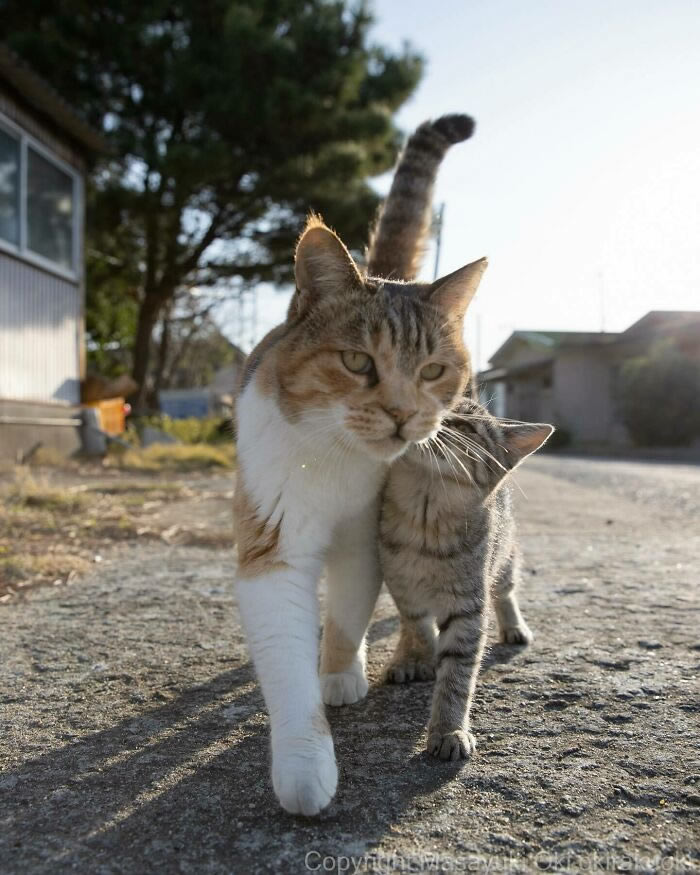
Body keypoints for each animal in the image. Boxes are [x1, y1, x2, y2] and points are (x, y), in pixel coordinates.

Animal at [378, 396, 552, 760]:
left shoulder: (468, 605)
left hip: (505, 557)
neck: (424, 522)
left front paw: (448, 729)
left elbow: (457, 674)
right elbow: (414, 625)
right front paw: (417, 656)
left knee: (505, 591)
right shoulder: (400, 585)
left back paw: (514, 625)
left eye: (464, 424)